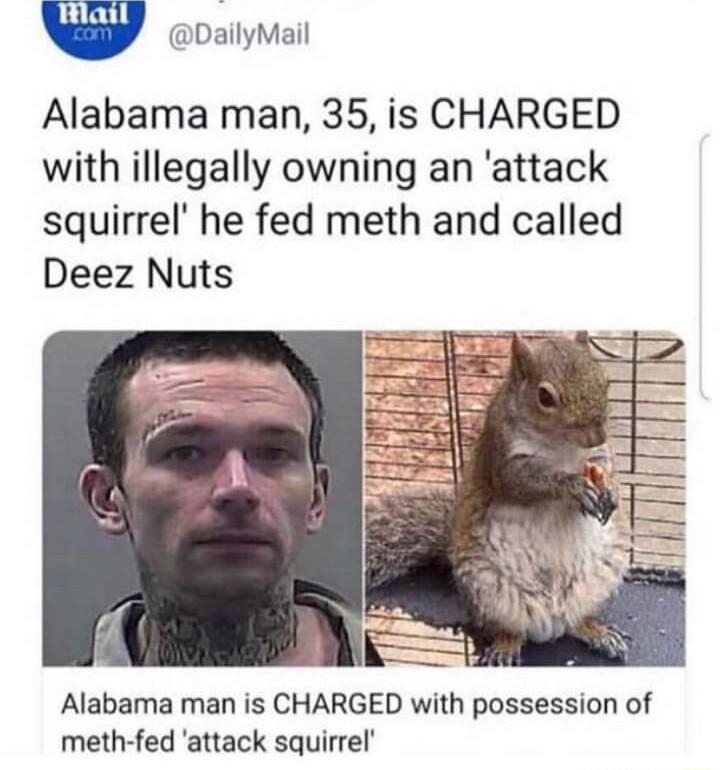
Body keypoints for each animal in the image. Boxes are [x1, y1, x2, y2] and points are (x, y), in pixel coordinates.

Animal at [366, 332, 629, 665]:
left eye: (605, 381)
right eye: (545, 397)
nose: (597, 436)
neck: (560, 446)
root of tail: (552, 618)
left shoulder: (596, 457)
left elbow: (607, 467)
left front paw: (612, 491)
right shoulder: (501, 453)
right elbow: (520, 482)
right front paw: (573, 487)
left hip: (603, 578)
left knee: (577, 622)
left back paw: (598, 632)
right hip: (486, 590)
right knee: (508, 631)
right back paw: (505, 647)